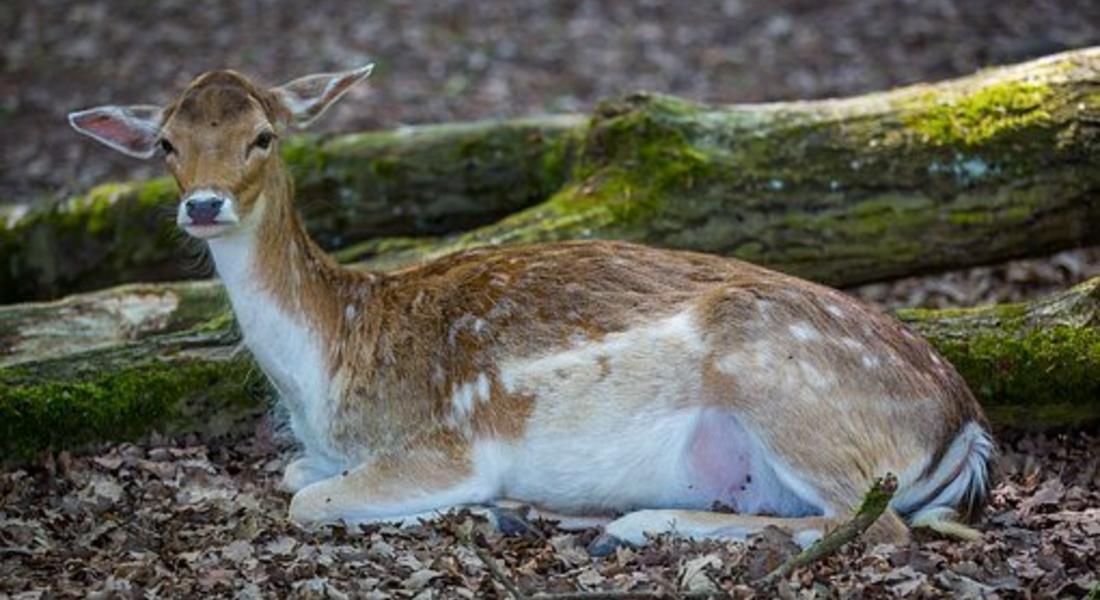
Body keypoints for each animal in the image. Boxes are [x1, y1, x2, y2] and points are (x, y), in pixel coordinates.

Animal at [70, 64, 998, 552]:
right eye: (166, 142)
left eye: (262, 135)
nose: (204, 205)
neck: (328, 368)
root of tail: (968, 427)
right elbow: (293, 473)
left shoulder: (447, 444)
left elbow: (307, 498)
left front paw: (477, 503)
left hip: (785, 389)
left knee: (873, 527)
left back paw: (619, 519)